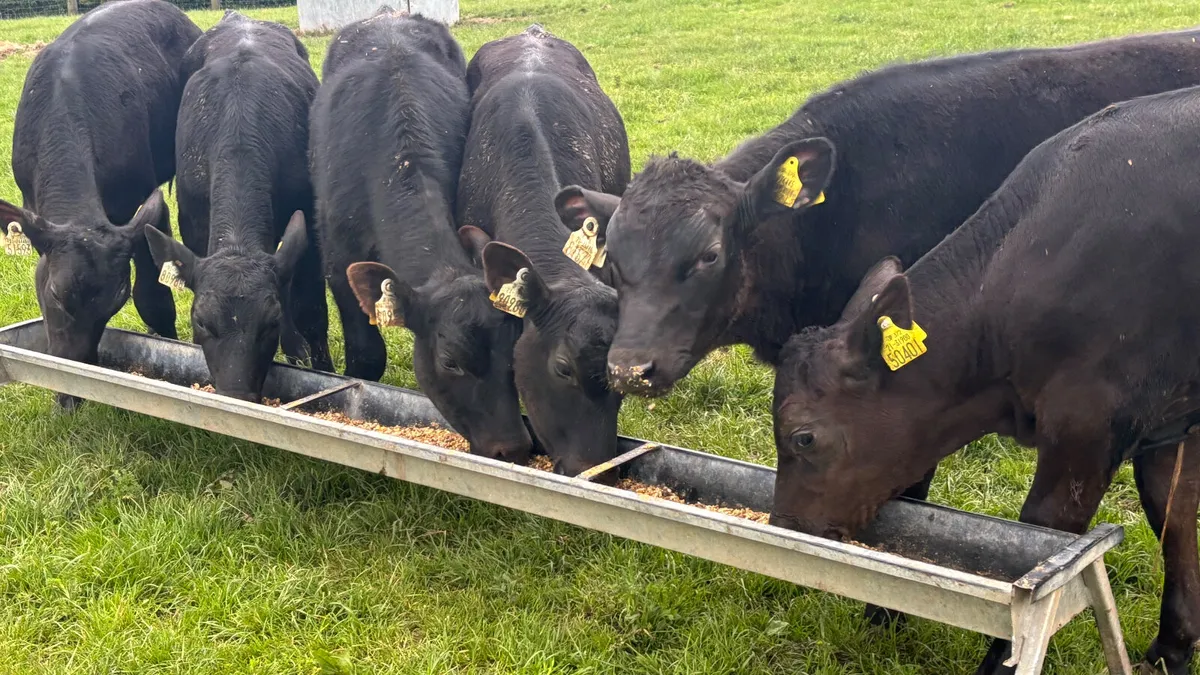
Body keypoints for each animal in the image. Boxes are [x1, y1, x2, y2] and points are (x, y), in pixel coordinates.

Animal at [143, 11, 330, 403]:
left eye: (270, 322)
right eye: (200, 320)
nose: (236, 393)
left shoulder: (308, 225)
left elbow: (310, 310)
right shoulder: (194, 224)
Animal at [771, 86, 1200, 675]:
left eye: (804, 438)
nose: (784, 527)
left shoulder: (1089, 421)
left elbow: (1045, 539)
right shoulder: (1170, 422)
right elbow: (1174, 515)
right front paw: (1173, 647)